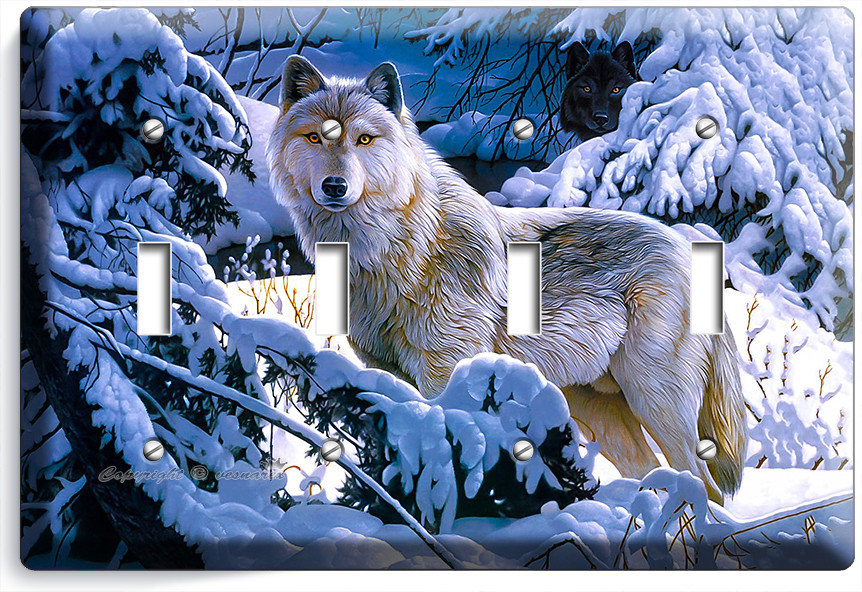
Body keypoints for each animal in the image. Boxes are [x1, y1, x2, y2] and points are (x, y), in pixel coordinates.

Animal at [267, 56, 747, 503]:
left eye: (364, 139)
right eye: (315, 137)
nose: (334, 186)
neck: (393, 251)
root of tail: (686, 246)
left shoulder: (445, 374)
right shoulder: (387, 374)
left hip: (655, 401)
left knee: (705, 485)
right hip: (600, 411)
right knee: (654, 473)